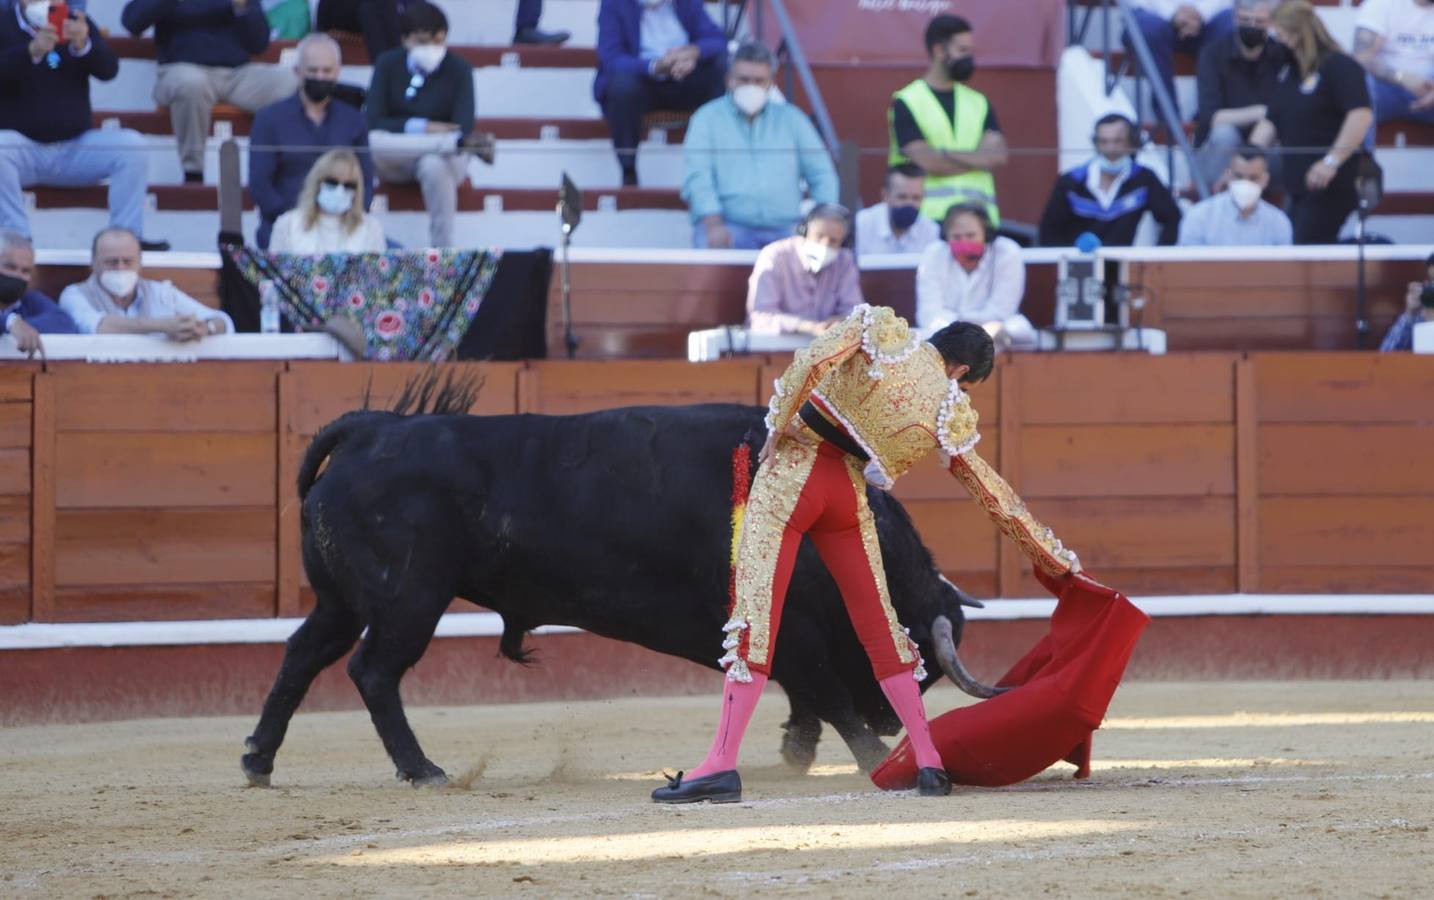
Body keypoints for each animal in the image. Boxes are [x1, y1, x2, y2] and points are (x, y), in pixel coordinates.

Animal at [240, 386, 998, 785]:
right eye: (923, 663)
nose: (889, 721)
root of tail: (374, 430)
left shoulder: (780, 633)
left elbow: (800, 691)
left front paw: (799, 753)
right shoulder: (794, 629)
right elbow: (823, 689)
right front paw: (870, 755)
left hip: (341, 601)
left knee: (302, 656)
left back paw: (258, 760)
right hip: (409, 601)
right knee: (373, 670)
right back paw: (422, 767)